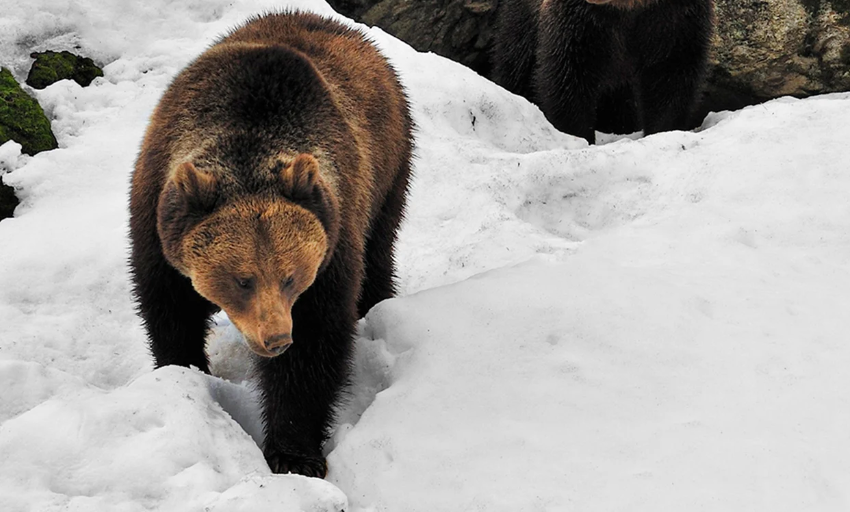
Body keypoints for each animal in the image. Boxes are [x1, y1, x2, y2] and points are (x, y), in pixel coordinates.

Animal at [126, 11, 414, 476]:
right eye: (242, 279)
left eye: (292, 276)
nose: (276, 338)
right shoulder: (156, 216)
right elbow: (169, 308)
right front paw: (182, 371)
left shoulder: (333, 240)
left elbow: (315, 344)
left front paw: (294, 454)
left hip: (390, 166)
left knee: (379, 250)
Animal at [490, 0, 716, 143]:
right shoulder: (581, 24)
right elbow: (567, 78)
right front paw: (577, 135)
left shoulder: (675, 22)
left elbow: (670, 79)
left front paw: (662, 130)